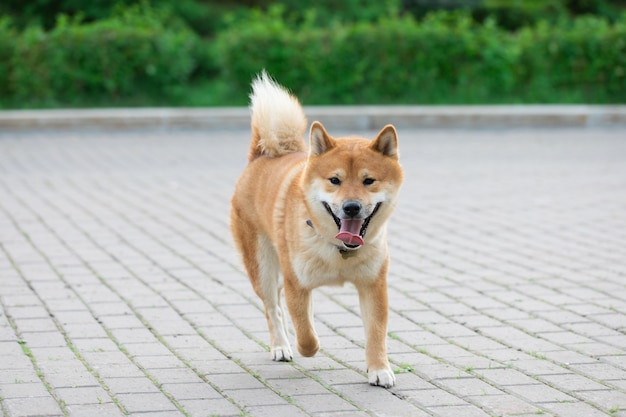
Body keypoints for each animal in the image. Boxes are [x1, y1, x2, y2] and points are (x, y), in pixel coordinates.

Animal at [228, 71, 400, 386]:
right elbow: (306, 335)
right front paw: (309, 346)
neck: (340, 249)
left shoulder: (373, 285)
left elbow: (376, 334)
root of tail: (260, 156)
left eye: (369, 181)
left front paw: (379, 369)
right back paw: (281, 346)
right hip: (263, 269)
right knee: (274, 309)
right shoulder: (296, 282)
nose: (352, 207)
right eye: (335, 180)